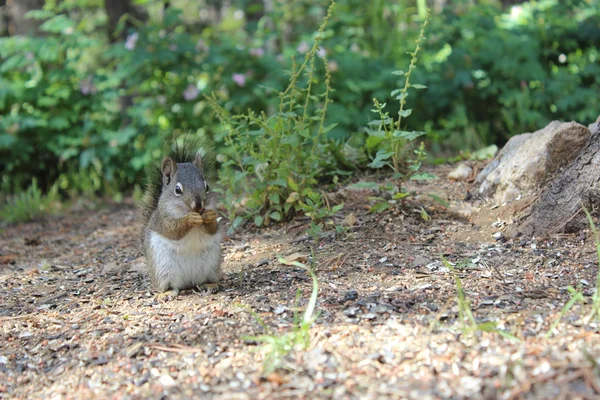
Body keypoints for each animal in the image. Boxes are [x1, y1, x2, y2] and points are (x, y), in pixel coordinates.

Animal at [139, 141, 221, 300]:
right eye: (177, 190)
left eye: (207, 186)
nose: (199, 206)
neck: (186, 210)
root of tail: (188, 282)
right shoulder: (164, 221)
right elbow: (174, 230)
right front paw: (190, 219)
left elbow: (213, 228)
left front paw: (209, 217)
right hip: (162, 268)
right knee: (169, 286)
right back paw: (167, 292)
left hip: (212, 264)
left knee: (203, 281)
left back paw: (210, 285)